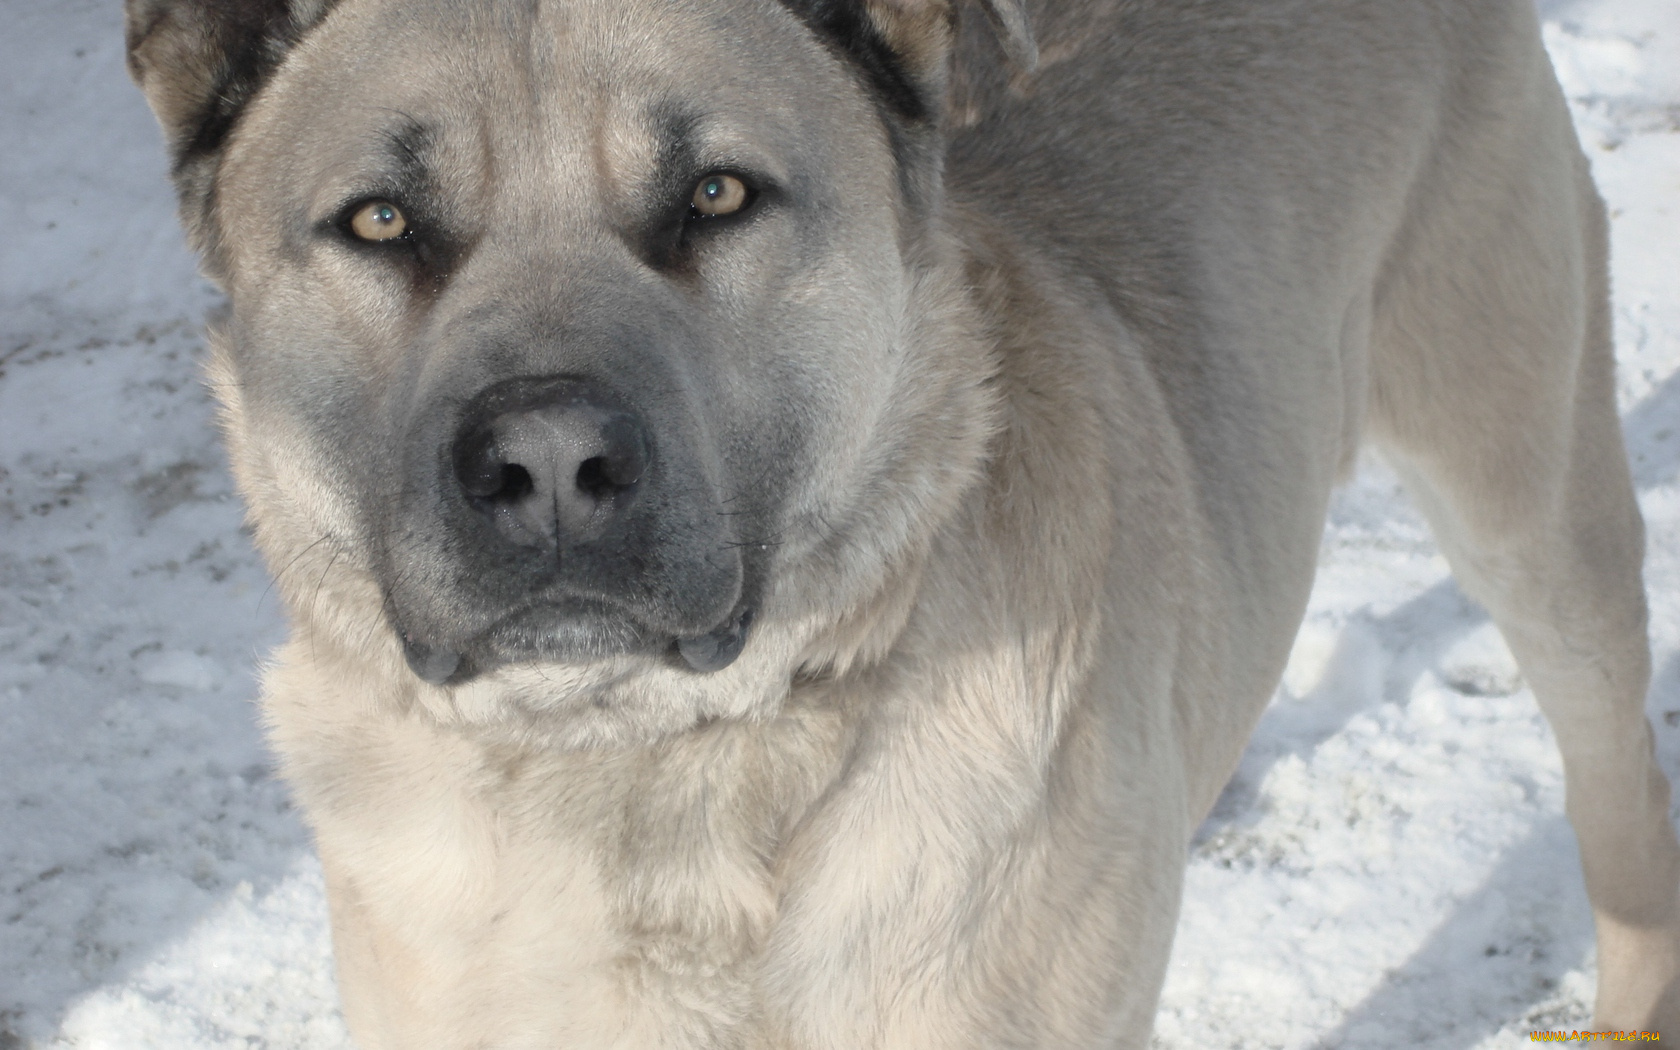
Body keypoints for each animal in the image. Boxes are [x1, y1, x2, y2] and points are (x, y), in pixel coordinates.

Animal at [127, 0, 1680, 1041]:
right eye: (381, 222)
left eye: (717, 193)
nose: (550, 461)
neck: (654, 769)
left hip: (1526, 483)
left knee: (1616, 792)